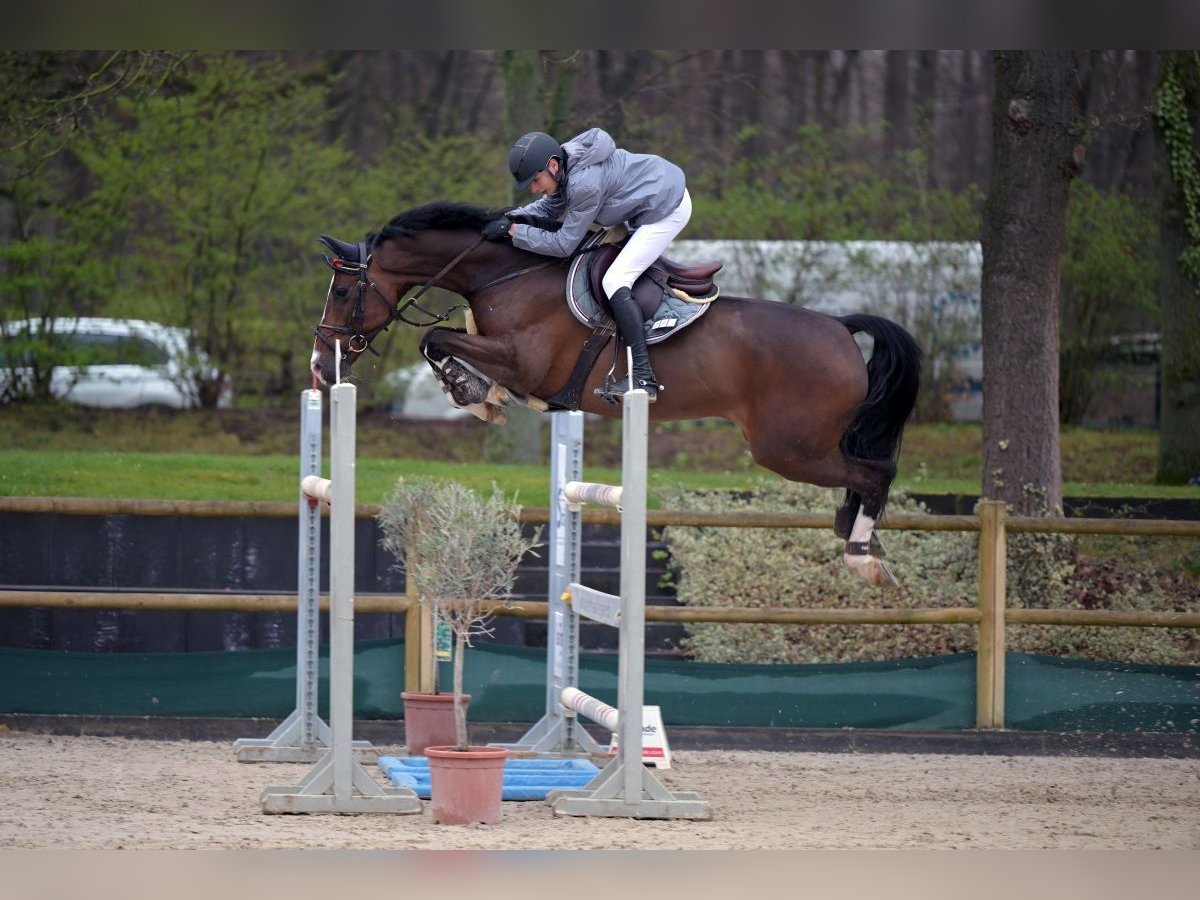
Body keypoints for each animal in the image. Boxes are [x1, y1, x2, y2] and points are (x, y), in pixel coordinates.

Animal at [307, 200, 916, 588]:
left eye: (342, 291)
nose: (320, 365)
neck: (506, 274)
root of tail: (840, 326)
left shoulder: (523, 360)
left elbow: (434, 340)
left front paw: (474, 393)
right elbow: (441, 344)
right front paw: (481, 394)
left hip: (788, 448)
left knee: (876, 471)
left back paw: (862, 556)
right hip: (800, 446)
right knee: (866, 473)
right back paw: (859, 538)